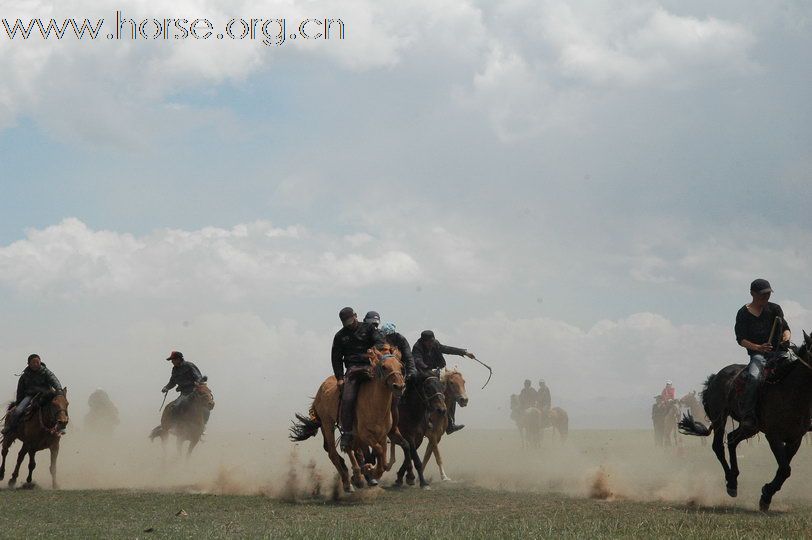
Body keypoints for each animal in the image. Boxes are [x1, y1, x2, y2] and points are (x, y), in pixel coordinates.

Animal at [290, 346, 406, 494]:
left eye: (401, 366)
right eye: (384, 367)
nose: (399, 386)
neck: (374, 404)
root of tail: (320, 390)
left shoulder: (382, 435)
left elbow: (383, 459)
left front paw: (371, 472)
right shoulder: (365, 434)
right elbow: (378, 451)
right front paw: (370, 471)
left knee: (350, 449)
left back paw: (357, 477)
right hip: (327, 425)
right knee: (334, 453)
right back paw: (348, 483)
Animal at [680, 332, 812, 512]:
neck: (791, 391)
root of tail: (716, 377)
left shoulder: (795, 438)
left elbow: (783, 469)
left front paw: (767, 495)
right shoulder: (773, 436)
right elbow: (785, 469)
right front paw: (766, 495)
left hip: (749, 427)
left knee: (732, 440)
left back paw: (734, 479)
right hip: (720, 417)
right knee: (718, 446)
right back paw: (731, 483)